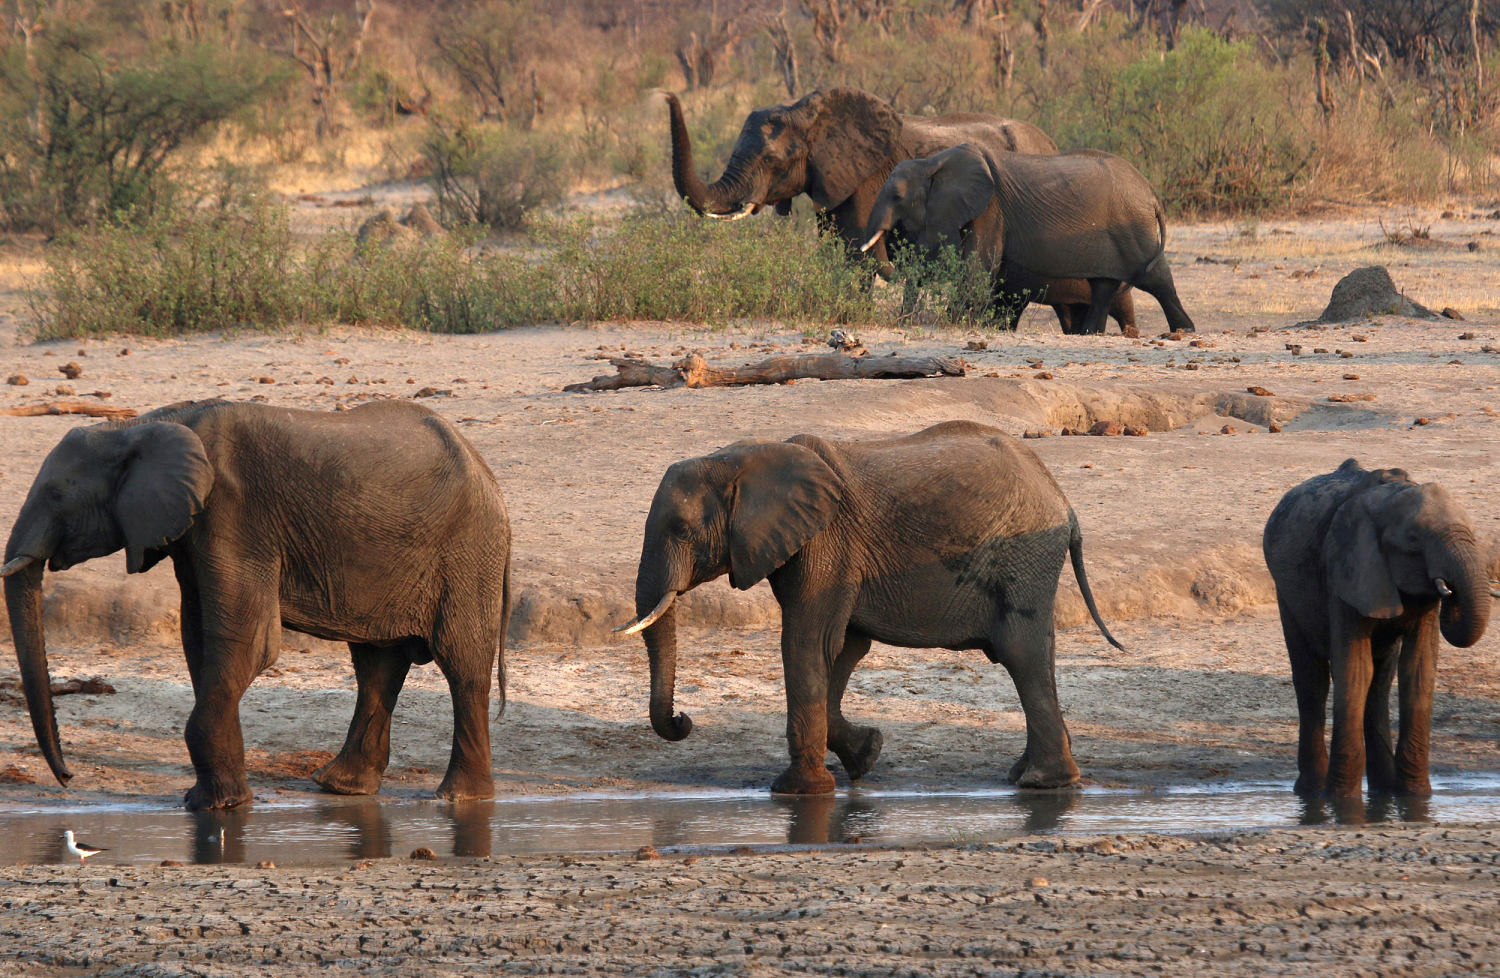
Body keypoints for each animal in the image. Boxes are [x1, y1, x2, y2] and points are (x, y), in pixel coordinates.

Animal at [2, 396, 513, 810]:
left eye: (56, 494)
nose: (67, 777)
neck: (145, 424)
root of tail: (488, 474)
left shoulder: (234, 514)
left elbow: (248, 642)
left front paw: (216, 807)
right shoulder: (195, 529)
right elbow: (199, 638)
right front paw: (213, 800)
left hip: (468, 552)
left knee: (461, 663)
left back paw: (458, 798)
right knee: (377, 664)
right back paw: (340, 787)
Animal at [615, 420, 1122, 792]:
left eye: (682, 529)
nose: (683, 720)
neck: (745, 457)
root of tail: (1062, 498)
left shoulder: (826, 543)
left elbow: (807, 643)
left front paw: (798, 792)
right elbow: (843, 649)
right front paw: (867, 755)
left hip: (1024, 556)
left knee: (1022, 652)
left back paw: (1042, 783)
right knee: (1038, 653)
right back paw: (1029, 776)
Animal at [663, 88, 1128, 333]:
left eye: (772, 160)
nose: (667, 94)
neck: (812, 113)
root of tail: (1049, 141)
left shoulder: (867, 179)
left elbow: (856, 257)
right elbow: (834, 253)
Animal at [858, 142, 1194, 336]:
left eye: (897, 196)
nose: (904, 322)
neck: (932, 162)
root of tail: (1150, 192)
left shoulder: (991, 209)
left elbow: (979, 266)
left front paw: (954, 323)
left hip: (1133, 227)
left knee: (1154, 276)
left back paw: (1184, 330)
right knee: (1104, 283)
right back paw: (1089, 333)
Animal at [1260, 462, 1494, 798]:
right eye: (1413, 540)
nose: (1451, 590)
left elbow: (1418, 670)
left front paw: (1415, 797)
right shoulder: (1344, 569)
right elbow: (1354, 669)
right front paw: (1341, 800)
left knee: (1380, 683)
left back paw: (1383, 790)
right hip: (1287, 594)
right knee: (1313, 681)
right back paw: (1312, 791)